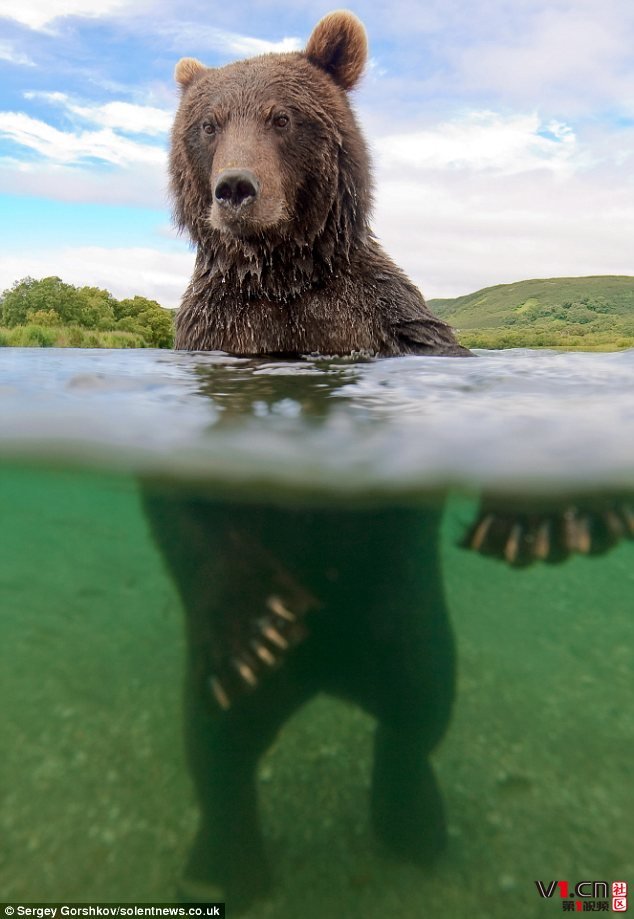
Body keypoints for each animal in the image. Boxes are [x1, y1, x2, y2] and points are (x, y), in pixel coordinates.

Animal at [169, 8, 470, 360]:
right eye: (209, 125)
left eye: (281, 118)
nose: (234, 187)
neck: (281, 278)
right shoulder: (217, 323)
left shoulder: (382, 316)